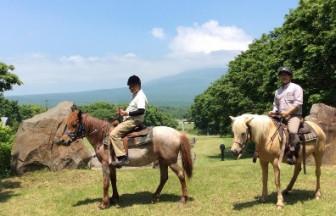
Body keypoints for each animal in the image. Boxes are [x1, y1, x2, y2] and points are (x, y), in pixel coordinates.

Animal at [55, 106, 192, 209]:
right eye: (67, 124)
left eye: (74, 124)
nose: (63, 140)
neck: (102, 137)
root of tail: (177, 134)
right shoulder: (112, 165)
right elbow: (113, 180)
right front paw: (114, 198)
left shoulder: (105, 164)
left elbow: (105, 183)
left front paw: (104, 204)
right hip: (163, 160)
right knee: (164, 178)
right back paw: (155, 197)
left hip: (171, 161)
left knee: (181, 174)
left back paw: (183, 199)